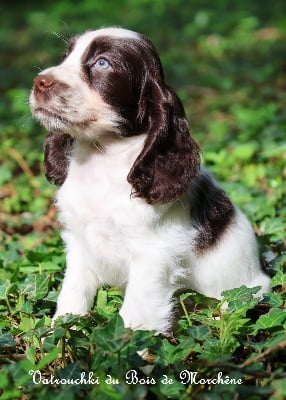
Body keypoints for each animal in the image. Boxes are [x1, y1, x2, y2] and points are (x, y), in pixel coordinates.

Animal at [29, 27, 270, 334]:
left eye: (103, 63)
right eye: (66, 56)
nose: (39, 82)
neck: (100, 158)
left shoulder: (152, 252)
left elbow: (136, 311)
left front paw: (130, 344)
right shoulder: (79, 241)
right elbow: (73, 291)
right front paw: (60, 330)